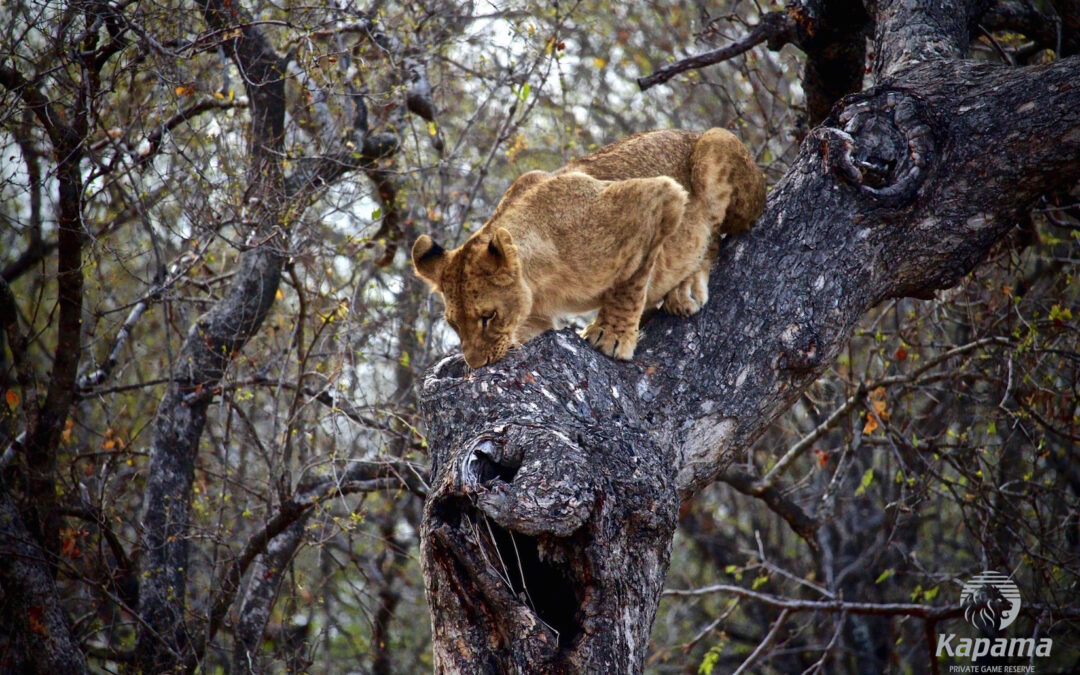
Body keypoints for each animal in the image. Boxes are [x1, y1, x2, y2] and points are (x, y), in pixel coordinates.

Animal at [412, 128, 765, 368]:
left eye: (488, 316)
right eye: (454, 324)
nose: (477, 364)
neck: (541, 279)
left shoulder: (657, 195)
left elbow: (630, 282)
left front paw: (611, 335)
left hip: (715, 144)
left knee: (714, 235)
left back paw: (684, 288)